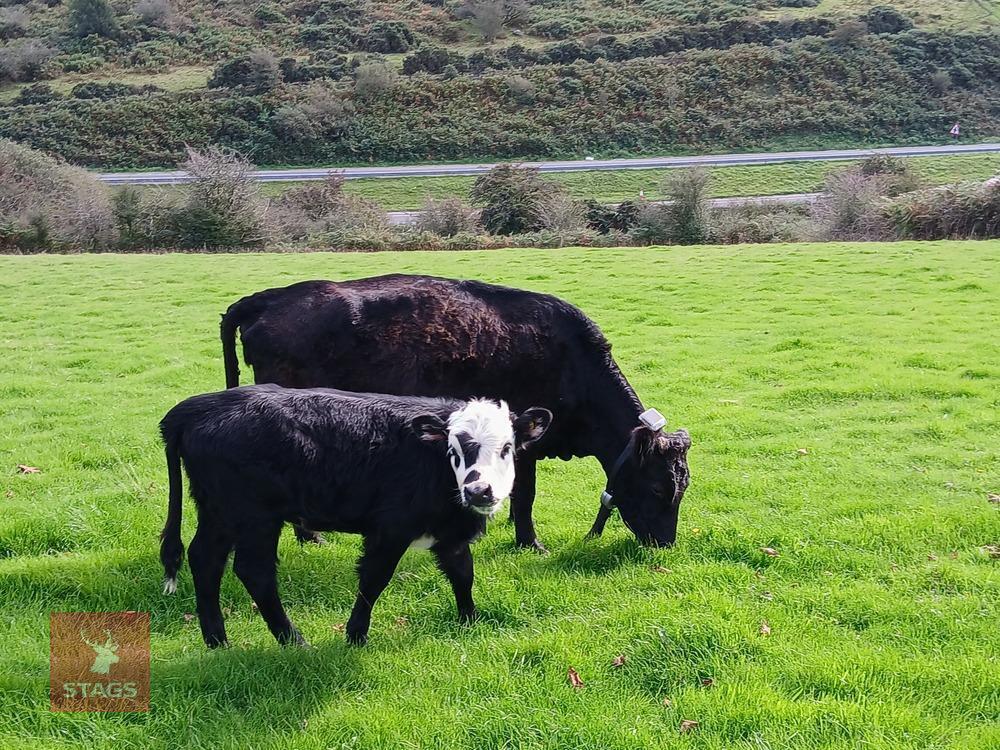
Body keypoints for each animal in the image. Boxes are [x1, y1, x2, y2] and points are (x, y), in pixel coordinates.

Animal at [159, 384, 552, 647]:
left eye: (507, 448)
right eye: (454, 449)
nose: (478, 490)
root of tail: (196, 407)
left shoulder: (450, 531)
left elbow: (463, 574)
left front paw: (469, 621)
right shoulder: (390, 530)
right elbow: (373, 580)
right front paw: (356, 635)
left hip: (218, 512)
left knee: (205, 560)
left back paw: (217, 640)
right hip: (255, 518)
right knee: (254, 572)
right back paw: (292, 640)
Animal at [220, 275, 691, 550]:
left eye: (681, 489)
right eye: (658, 488)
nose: (664, 543)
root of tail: (271, 298)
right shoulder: (525, 437)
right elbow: (526, 495)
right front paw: (529, 543)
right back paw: (311, 536)